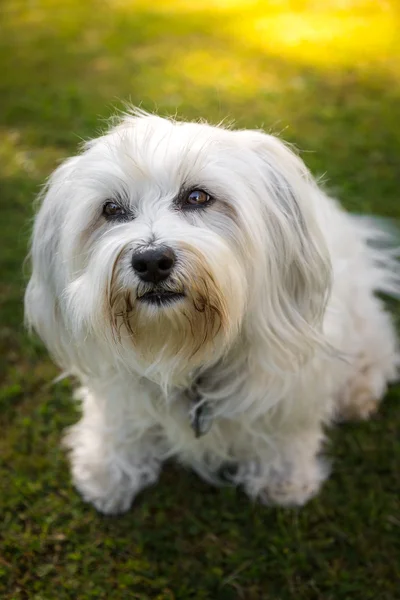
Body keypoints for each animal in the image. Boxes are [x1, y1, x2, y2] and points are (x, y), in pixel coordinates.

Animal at [24, 110, 400, 512]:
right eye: (111, 209)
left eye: (197, 196)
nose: (151, 260)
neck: (184, 347)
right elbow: (121, 423)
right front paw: (107, 471)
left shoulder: (290, 384)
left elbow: (285, 433)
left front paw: (283, 480)